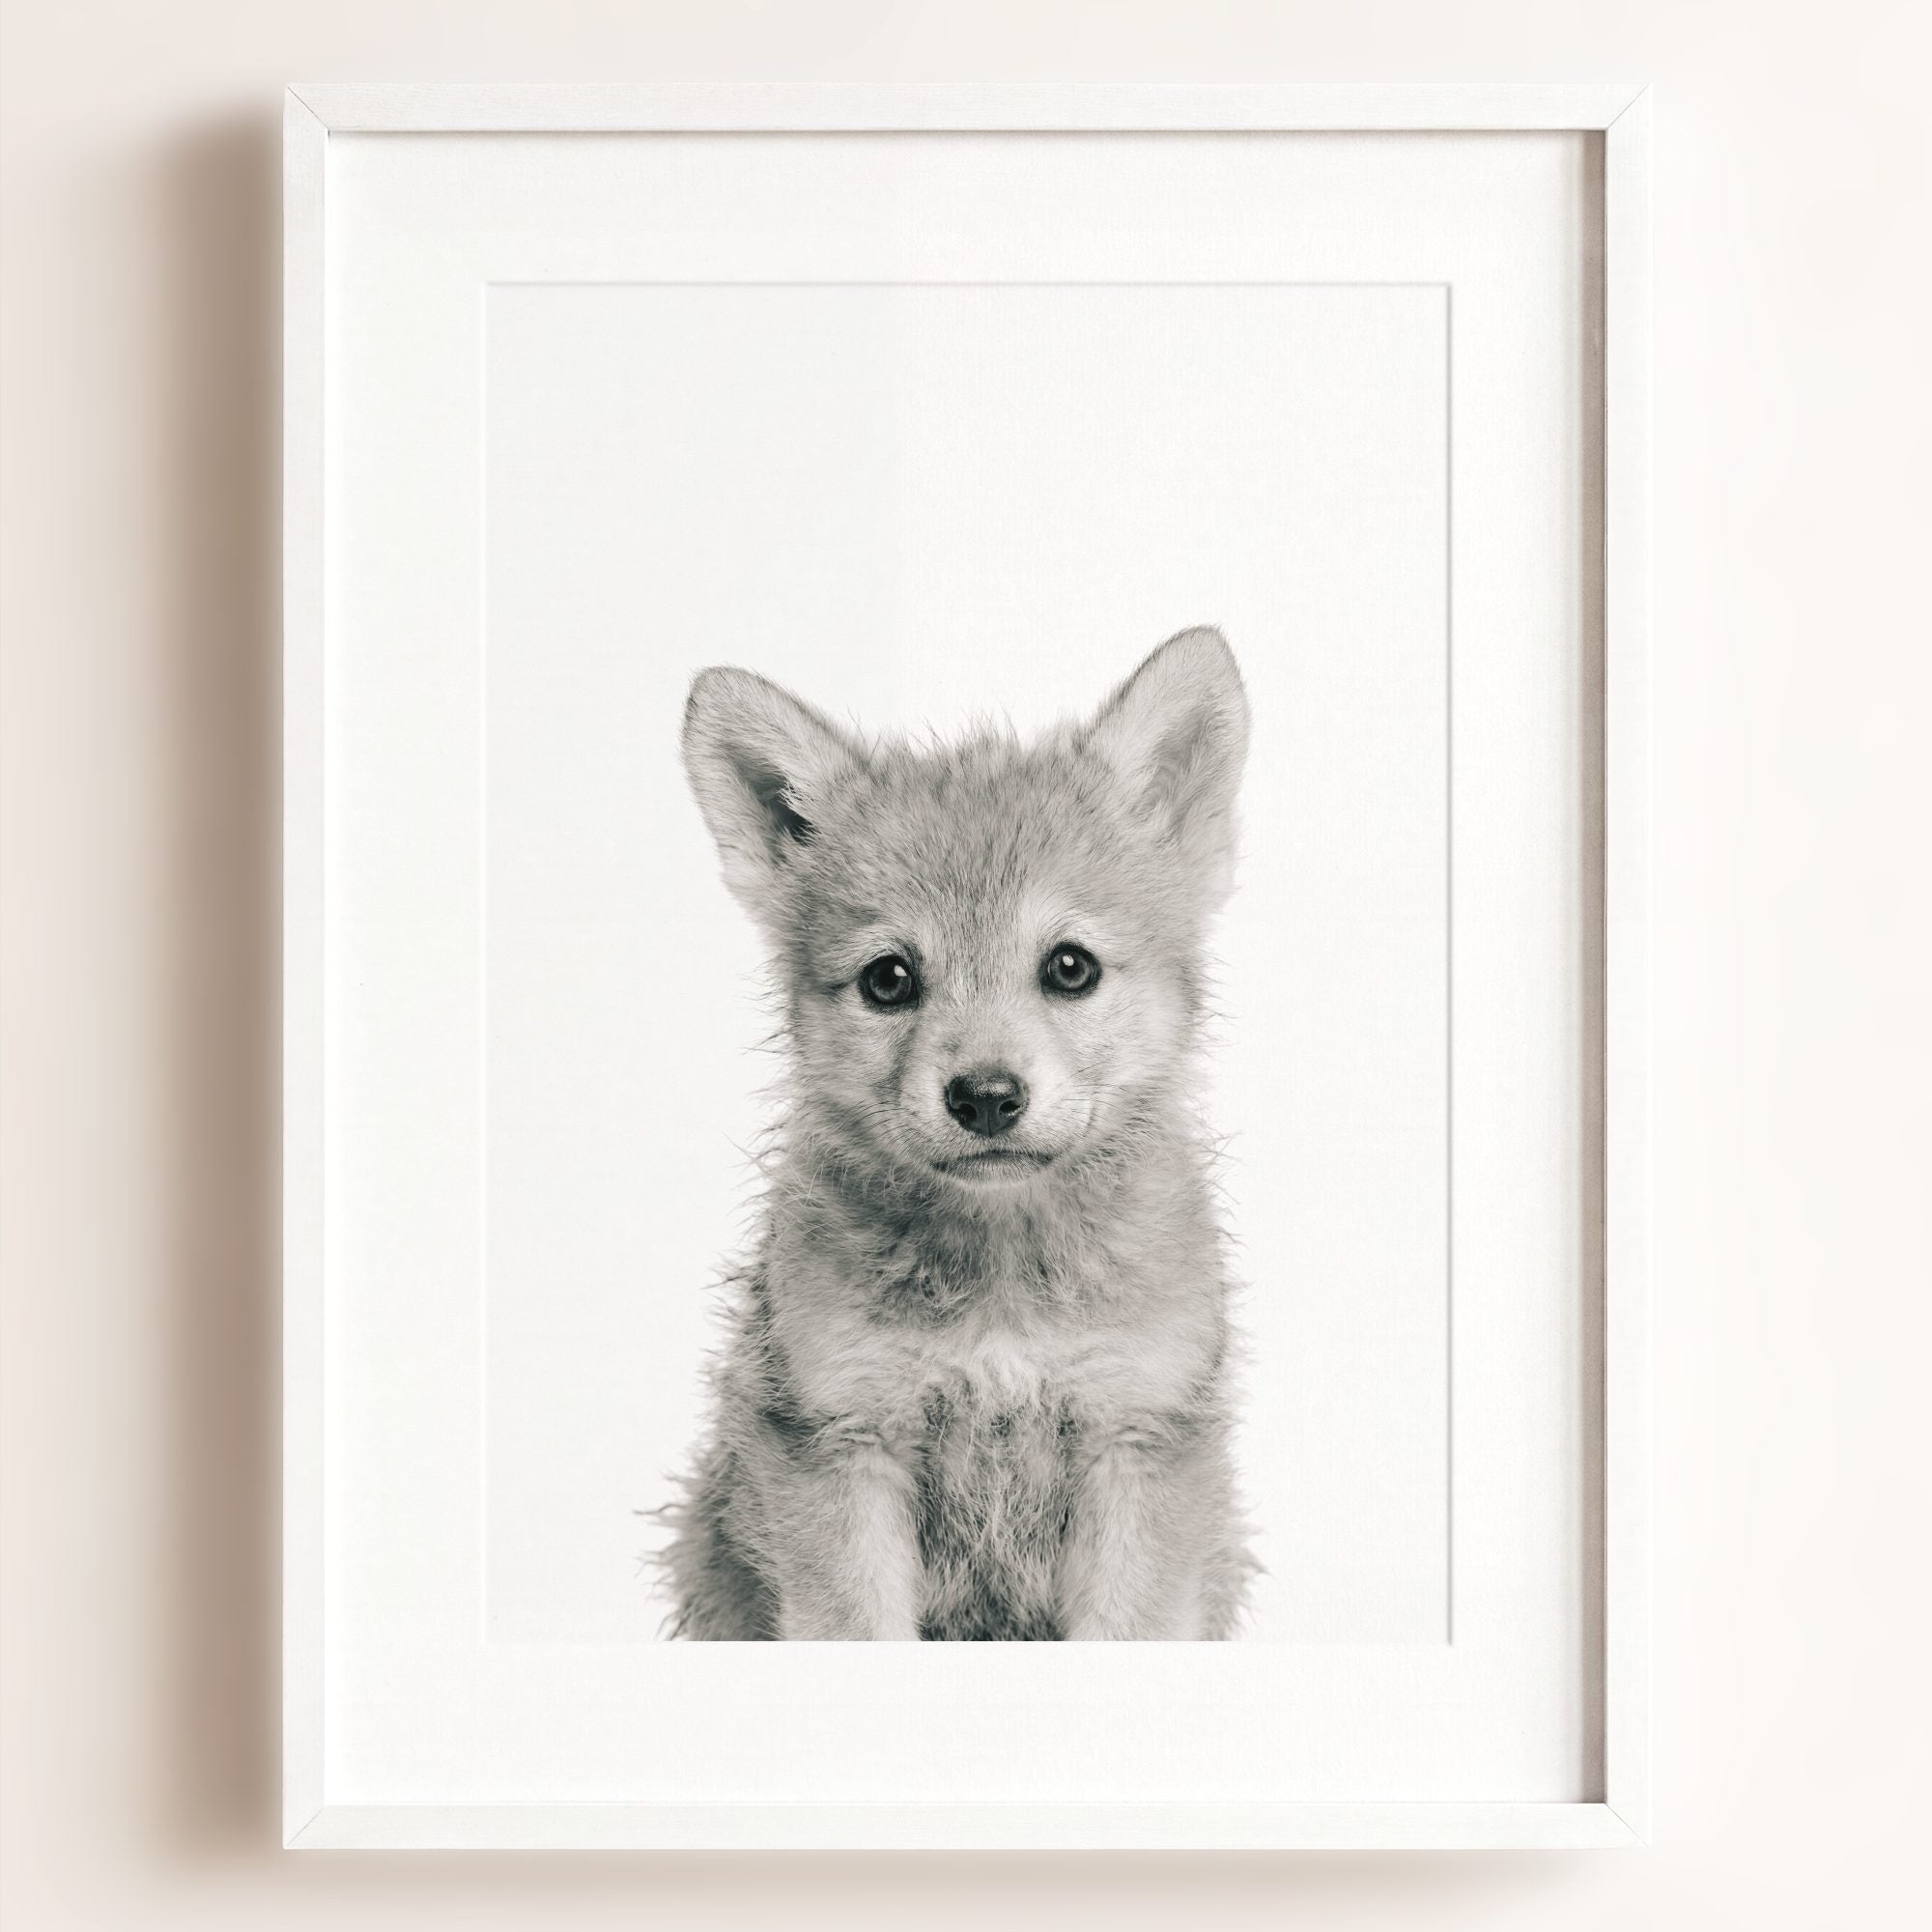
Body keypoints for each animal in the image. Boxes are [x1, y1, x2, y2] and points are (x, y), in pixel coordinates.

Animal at [660, 626, 1255, 1640]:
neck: (1002, 1293)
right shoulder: (842, 1444)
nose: (984, 1097)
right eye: (889, 979)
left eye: (1069, 967)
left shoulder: (1136, 1438)